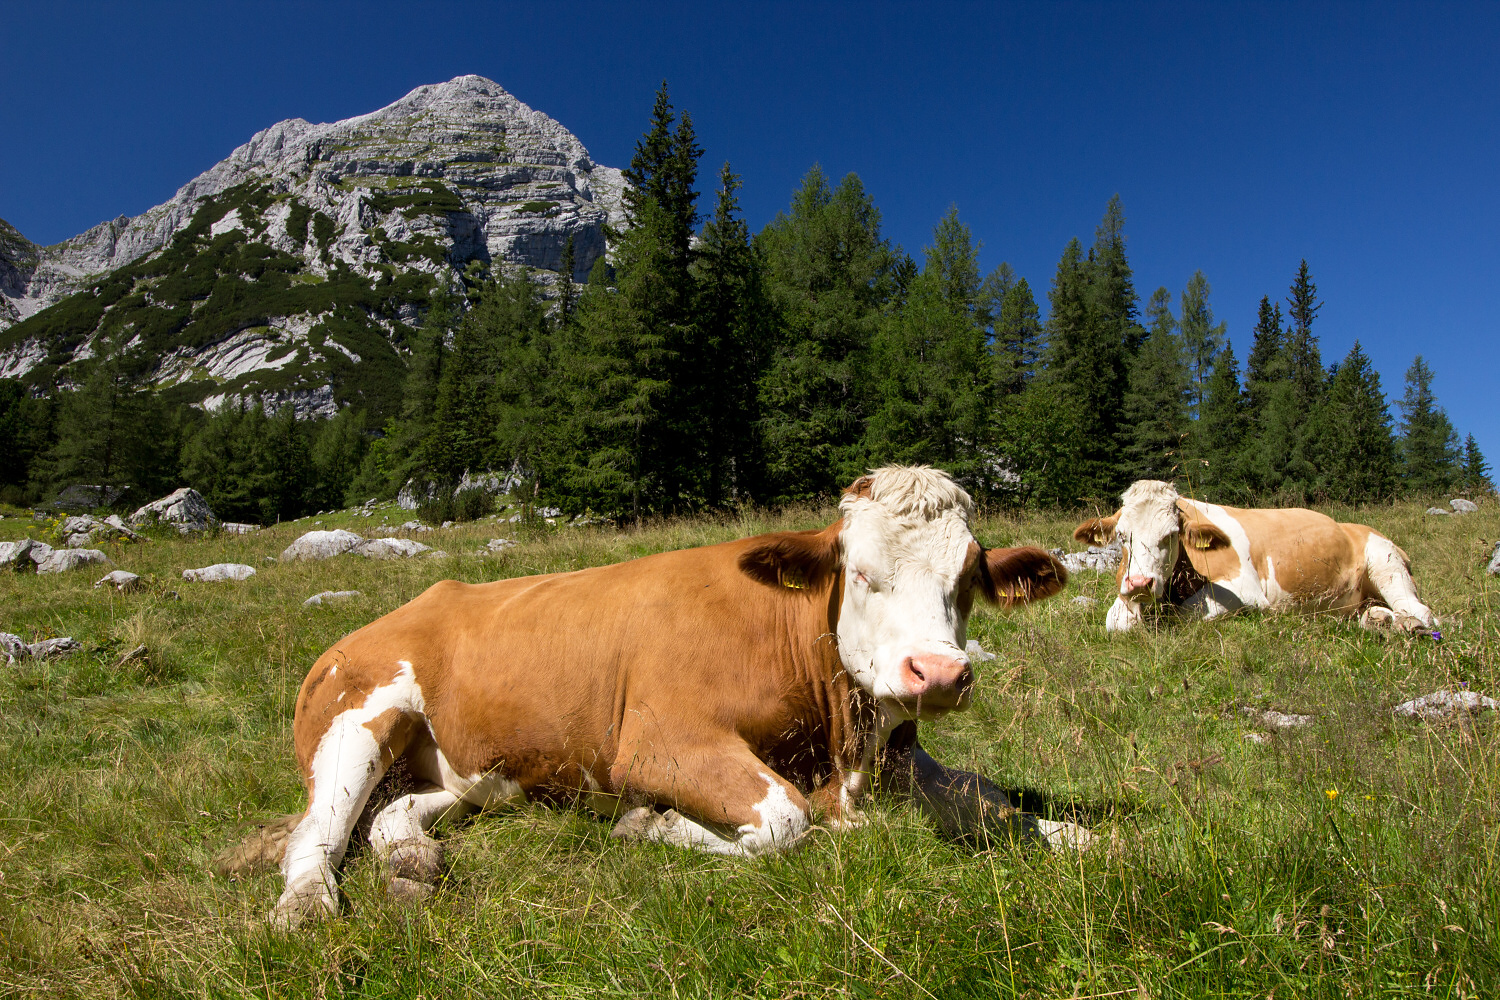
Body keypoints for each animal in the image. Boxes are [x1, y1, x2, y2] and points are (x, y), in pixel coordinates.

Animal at [252, 464, 1086, 929]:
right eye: (861, 572)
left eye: (968, 579)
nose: (937, 675)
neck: (840, 749)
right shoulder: (661, 744)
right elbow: (783, 820)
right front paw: (649, 825)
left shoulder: (897, 759)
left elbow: (994, 802)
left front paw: (1075, 836)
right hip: (357, 717)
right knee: (320, 831)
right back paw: (304, 908)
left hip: (470, 772)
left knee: (393, 813)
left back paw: (416, 861)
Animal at [1074, 479, 1434, 638]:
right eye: (1123, 536)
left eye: (1172, 534)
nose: (1140, 582)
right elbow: (1117, 622)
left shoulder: (1244, 589)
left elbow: (1187, 614)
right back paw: (1380, 620)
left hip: (1386, 562)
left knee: (1421, 611)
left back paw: (1409, 624)